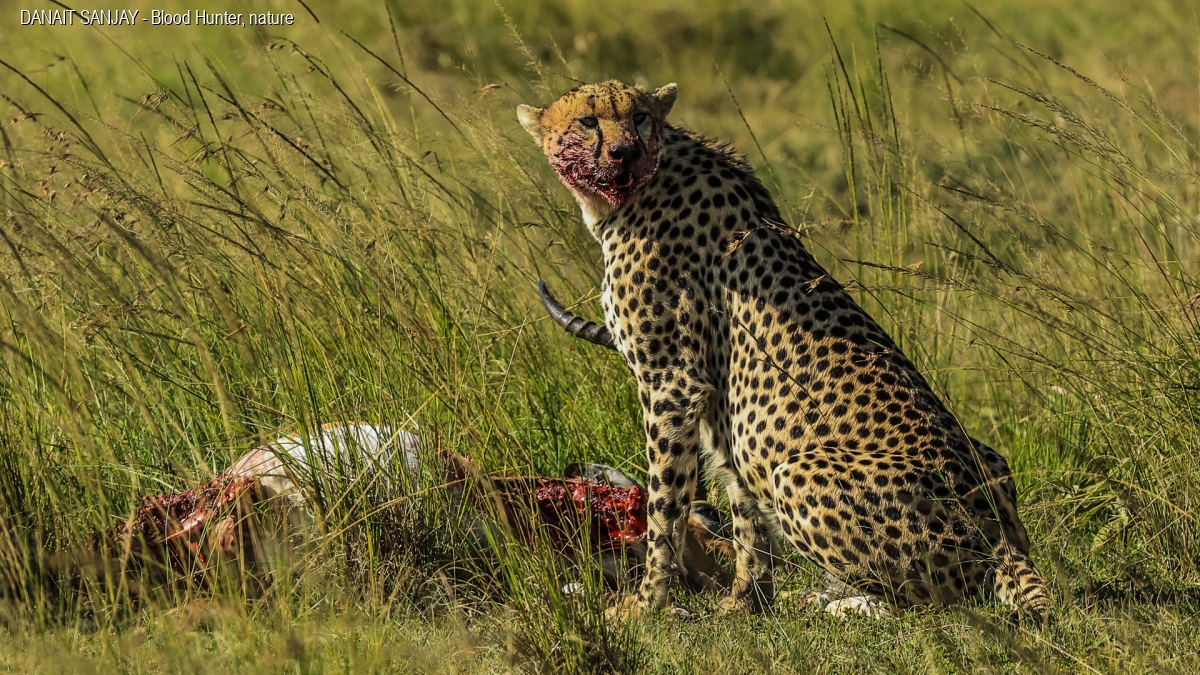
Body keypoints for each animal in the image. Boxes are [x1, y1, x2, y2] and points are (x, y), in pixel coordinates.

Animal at [517, 80, 1052, 619]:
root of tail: (1000, 536)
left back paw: (829, 601)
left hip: (798, 473)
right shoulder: (716, 406)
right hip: (991, 461)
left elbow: (664, 507)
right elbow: (741, 507)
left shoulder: (672, 385)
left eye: (640, 117)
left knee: (932, 609)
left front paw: (645, 606)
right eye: (588, 122)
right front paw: (744, 602)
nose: (626, 151)